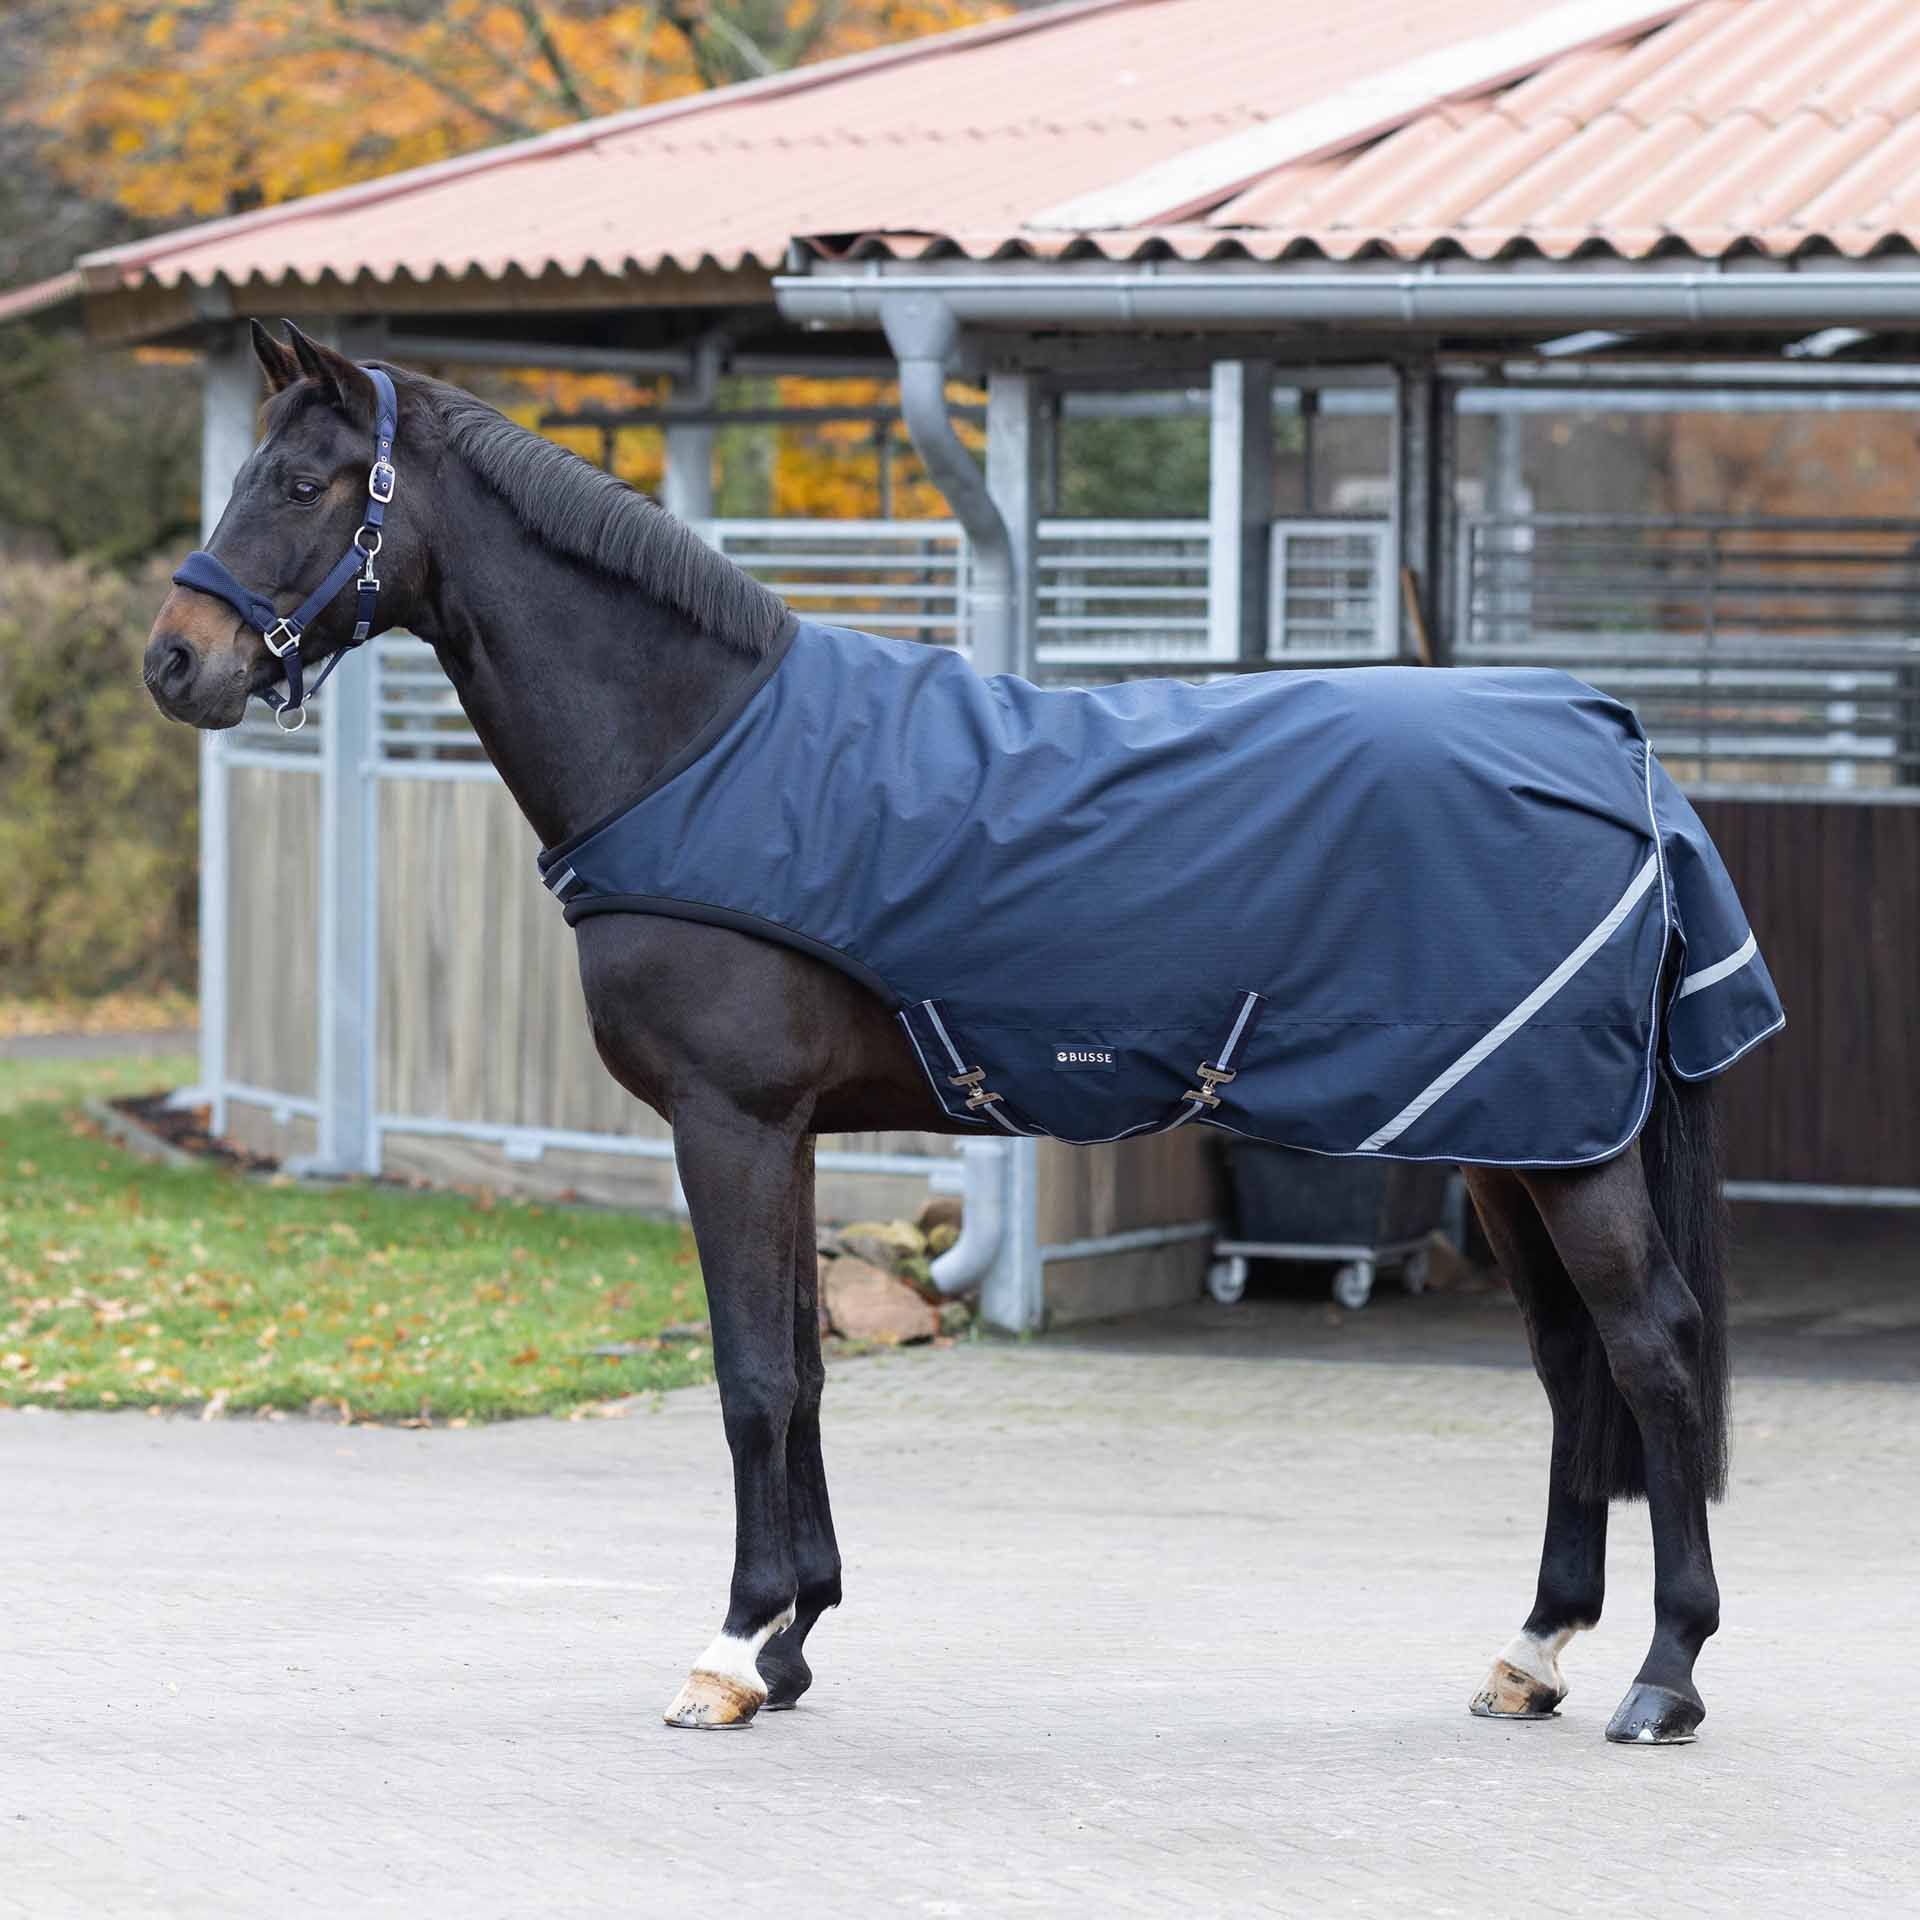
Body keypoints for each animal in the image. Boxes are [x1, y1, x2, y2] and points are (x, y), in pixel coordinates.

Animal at [143, 321, 1759, 1747]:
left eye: (305, 484)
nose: (176, 661)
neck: (694, 747)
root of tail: (1615, 746)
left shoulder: (728, 1122)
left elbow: (753, 1380)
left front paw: (727, 1653)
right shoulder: (784, 1129)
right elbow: (799, 1369)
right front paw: (794, 1639)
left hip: (1561, 1150)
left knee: (1653, 1350)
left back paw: (1666, 1675)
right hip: (1508, 1139)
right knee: (1570, 1366)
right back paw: (1533, 1652)